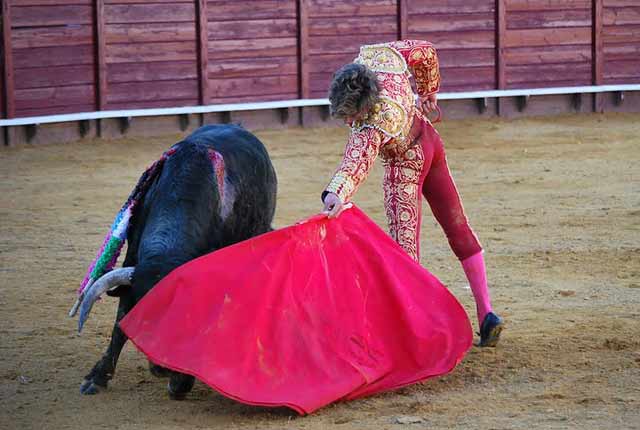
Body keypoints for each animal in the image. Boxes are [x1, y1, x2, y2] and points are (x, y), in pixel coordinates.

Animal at [78, 123, 278, 396]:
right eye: (143, 317)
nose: (161, 368)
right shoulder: (133, 263)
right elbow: (120, 323)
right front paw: (97, 377)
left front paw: (184, 378)